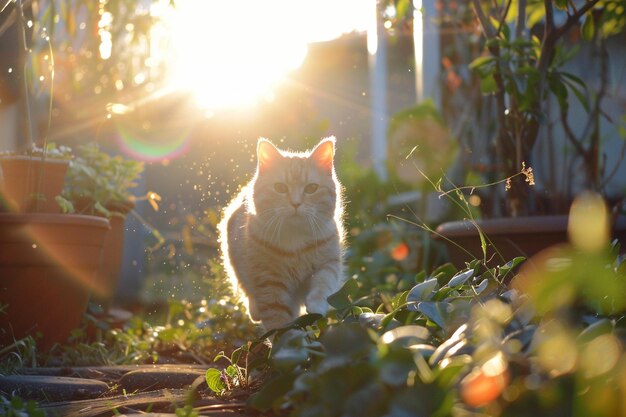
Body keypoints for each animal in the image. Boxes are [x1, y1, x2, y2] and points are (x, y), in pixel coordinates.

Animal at [218, 138, 346, 330]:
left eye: (311, 188)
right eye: (280, 188)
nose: (296, 203)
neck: (295, 239)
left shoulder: (329, 262)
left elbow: (323, 283)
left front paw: (317, 305)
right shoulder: (269, 281)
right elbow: (278, 322)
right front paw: (287, 337)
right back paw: (254, 309)